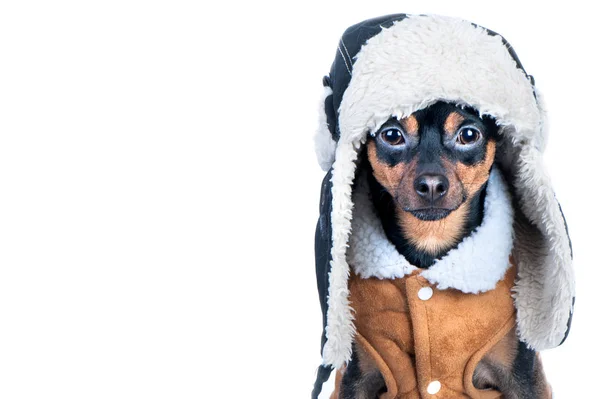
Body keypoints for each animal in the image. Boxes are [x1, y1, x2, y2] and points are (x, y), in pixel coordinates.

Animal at [336, 102, 552, 399]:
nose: (431, 185)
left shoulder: (522, 379)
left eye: (469, 135)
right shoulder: (357, 379)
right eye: (391, 135)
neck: (431, 243)